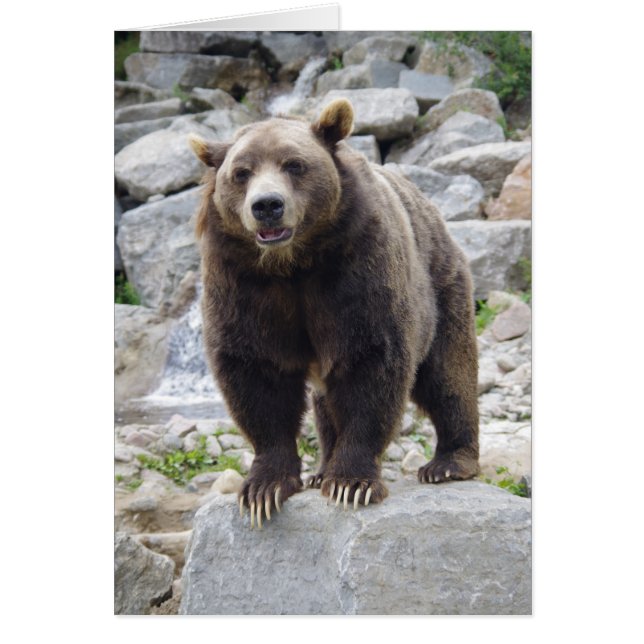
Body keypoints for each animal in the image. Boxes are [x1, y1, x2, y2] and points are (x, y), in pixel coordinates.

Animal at [189, 98, 480, 529]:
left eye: (294, 164)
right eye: (241, 172)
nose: (267, 206)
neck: (292, 264)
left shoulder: (355, 267)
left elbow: (370, 361)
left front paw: (351, 482)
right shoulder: (241, 282)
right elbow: (256, 371)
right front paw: (264, 489)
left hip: (442, 286)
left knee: (448, 374)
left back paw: (449, 463)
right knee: (326, 402)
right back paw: (321, 468)